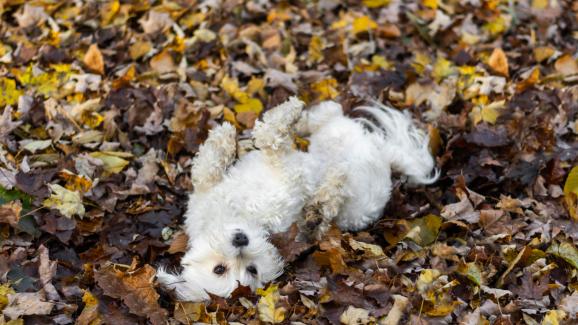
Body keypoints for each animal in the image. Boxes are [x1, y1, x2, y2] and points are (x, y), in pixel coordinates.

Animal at [155, 97, 434, 302]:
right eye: (221, 269)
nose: (240, 240)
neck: (240, 214)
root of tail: (384, 158)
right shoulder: (289, 179)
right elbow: (269, 142)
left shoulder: (214, 189)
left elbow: (209, 165)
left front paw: (223, 137)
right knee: (331, 132)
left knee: (327, 114)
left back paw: (300, 119)